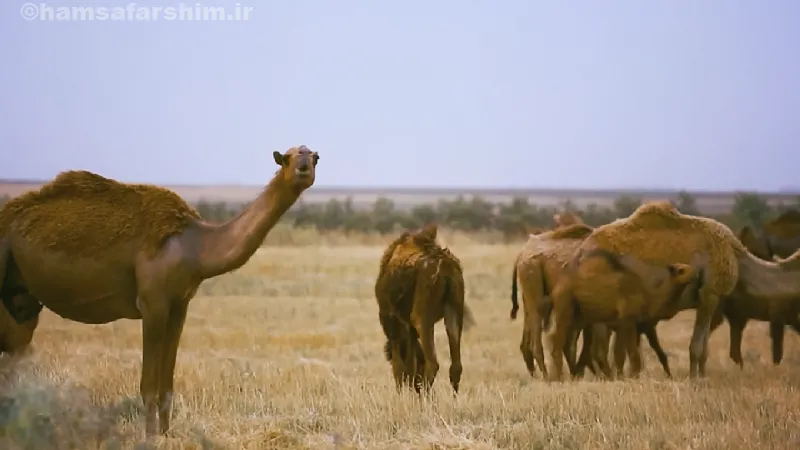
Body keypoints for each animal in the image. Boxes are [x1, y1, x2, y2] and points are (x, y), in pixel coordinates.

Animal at [0, 146, 318, 438]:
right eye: (287, 157)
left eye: (314, 156)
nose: (303, 167)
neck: (195, 246)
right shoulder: (152, 303)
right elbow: (149, 385)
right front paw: (151, 436)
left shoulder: (179, 304)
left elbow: (167, 383)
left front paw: (166, 434)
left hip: (23, 302)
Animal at [376, 223, 476, 396]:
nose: (415, 387)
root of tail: (446, 269)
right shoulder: (407, 325)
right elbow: (410, 365)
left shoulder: (390, 318)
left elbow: (399, 367)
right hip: (455, 310)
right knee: (456, 366)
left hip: (421, 316)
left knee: (433, 363)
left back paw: (425, 397)